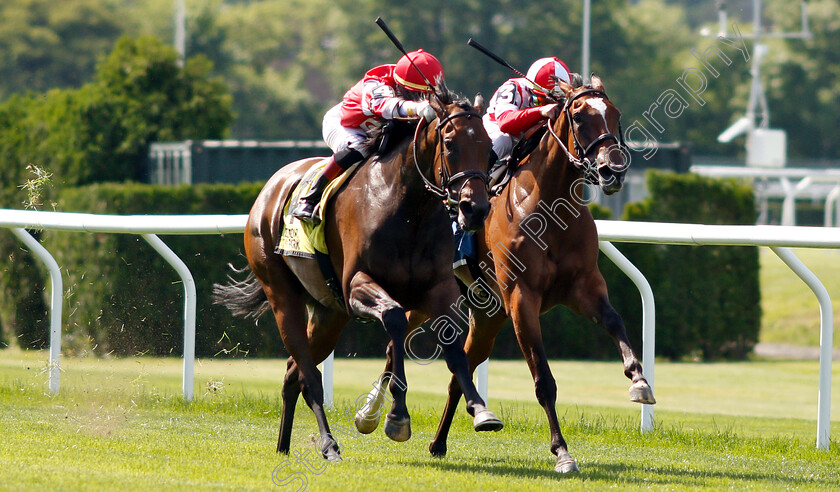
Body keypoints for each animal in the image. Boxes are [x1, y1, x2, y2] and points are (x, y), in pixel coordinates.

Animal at [213, 88, 502, 462]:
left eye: (488, 147)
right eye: (450, 143)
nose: (476, 208)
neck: (407, 208)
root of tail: (268, 190)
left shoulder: (437, 289)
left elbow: (454, 345)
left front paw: (480, 409)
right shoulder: (355, 287)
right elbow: (393, 318)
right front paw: (396, 417)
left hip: (329, 314)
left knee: (293, 373)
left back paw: (283, 445)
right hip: (282, 296)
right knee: (309, 378)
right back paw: (329, 444)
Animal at [360, 74, 656, 472]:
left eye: (616, 115)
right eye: (579, 117)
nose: (613, 169)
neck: (548, 208)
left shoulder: (584, 287)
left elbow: (614, 321)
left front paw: (639, 381)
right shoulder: (520, 299)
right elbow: (543, 380)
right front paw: (562, 452)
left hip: (486, 317)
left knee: (456, 373)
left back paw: (440, 440)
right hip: (429, 301)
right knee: (396, 343)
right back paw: (371, 412)